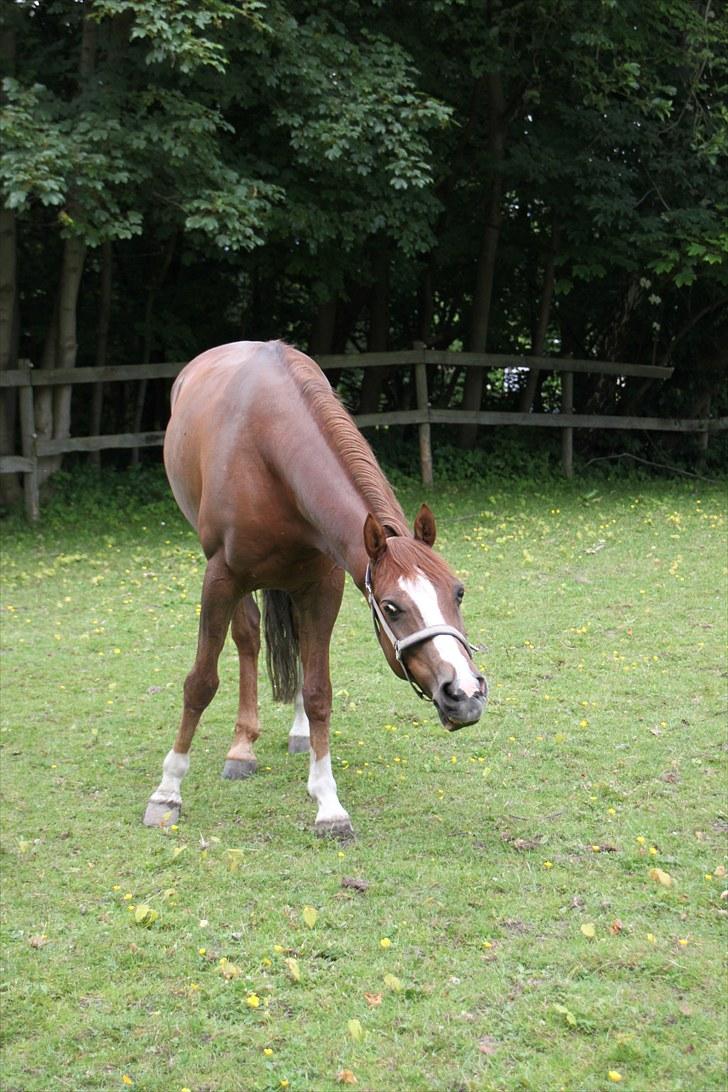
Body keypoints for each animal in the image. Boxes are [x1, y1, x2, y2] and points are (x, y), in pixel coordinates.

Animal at [144, 340, 488, 834]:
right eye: (392, 606)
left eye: (458, 592)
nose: (464, 694)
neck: (269, 446)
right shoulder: (221, 578)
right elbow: (201, 683)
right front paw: (167, 791)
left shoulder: (324, 585)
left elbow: (318, 689)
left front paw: (328, 802)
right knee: (247, 637)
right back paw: (241, 748)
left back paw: (298, 732)